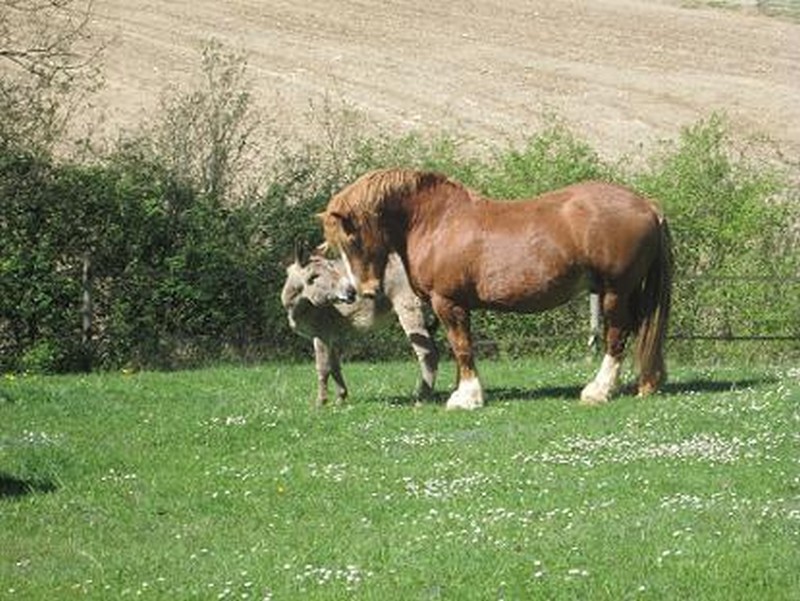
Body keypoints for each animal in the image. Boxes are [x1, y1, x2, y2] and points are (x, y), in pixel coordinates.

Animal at [322, 171, 672, 410]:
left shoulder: (448, 303)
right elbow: (459, 348)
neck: (437, 222)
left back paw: (598, 391)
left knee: (617, 336)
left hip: (615, 292)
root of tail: (648, 205)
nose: (361, 291)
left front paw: (467, 397)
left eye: (351, 238)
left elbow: (462, 347)